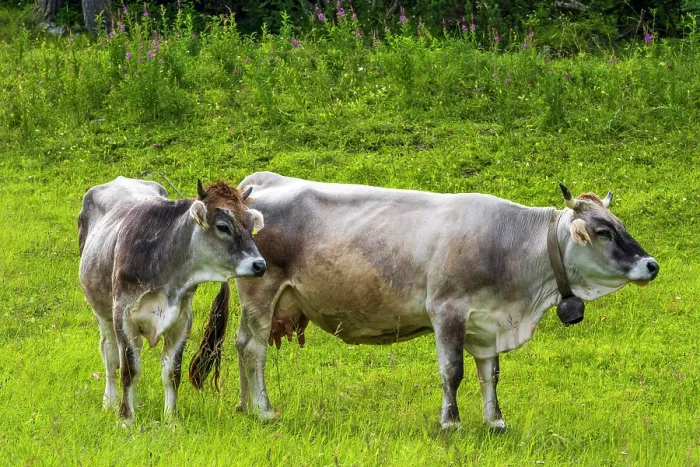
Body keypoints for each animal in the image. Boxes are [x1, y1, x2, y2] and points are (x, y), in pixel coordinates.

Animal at [78, 176, 265, 421]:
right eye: (223, 226)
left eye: (251, 225)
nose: (259, 265)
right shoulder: (124, 316)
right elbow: (129, 369)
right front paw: (126, 418)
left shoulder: (182, 320)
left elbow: (171, 372)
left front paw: (171, 419)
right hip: (102, 312)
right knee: (110, 355)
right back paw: (110, 401)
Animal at [189, 172, 660, 430]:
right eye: (603, 231)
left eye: (619, 223)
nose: (652, 264)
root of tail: (259, 183)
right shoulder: (447, 310)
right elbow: (453, 372)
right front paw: (451, 422)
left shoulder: (487, 322)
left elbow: (490, 374)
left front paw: (495, 420)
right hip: (261, 291)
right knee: (252, 348)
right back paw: (264, 410)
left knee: (242, 345)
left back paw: (245, 405)